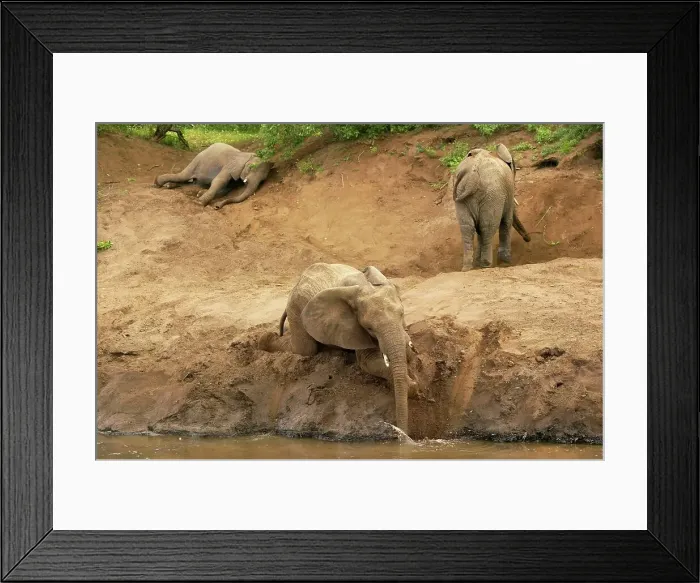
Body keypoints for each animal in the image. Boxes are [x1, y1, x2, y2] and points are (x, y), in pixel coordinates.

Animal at [258, 263, 420, 438]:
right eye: (369, 327)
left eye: (402, 314)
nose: (402, 432)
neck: (367, 286)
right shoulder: (354, 327)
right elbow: (367, 361)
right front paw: (411, 385)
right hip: (296, 305)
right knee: (305, 349)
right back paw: (264, 340)